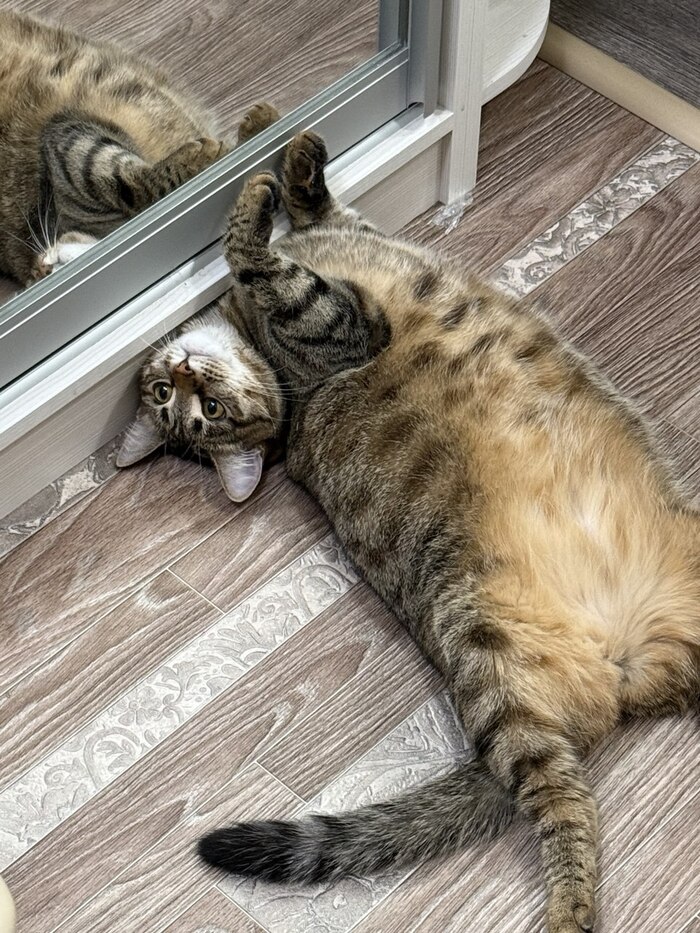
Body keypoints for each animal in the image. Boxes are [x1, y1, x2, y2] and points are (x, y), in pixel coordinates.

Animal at [119, 132, 700, 933]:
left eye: (194, 402)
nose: (182, 370)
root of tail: (628, 666)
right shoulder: (341, 323)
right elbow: (258, 258)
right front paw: (253, 201)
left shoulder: (348, 241)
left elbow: (314, 208)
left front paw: (297, 156)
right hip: (492, 669)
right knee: (563, 803)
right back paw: (569, 906)